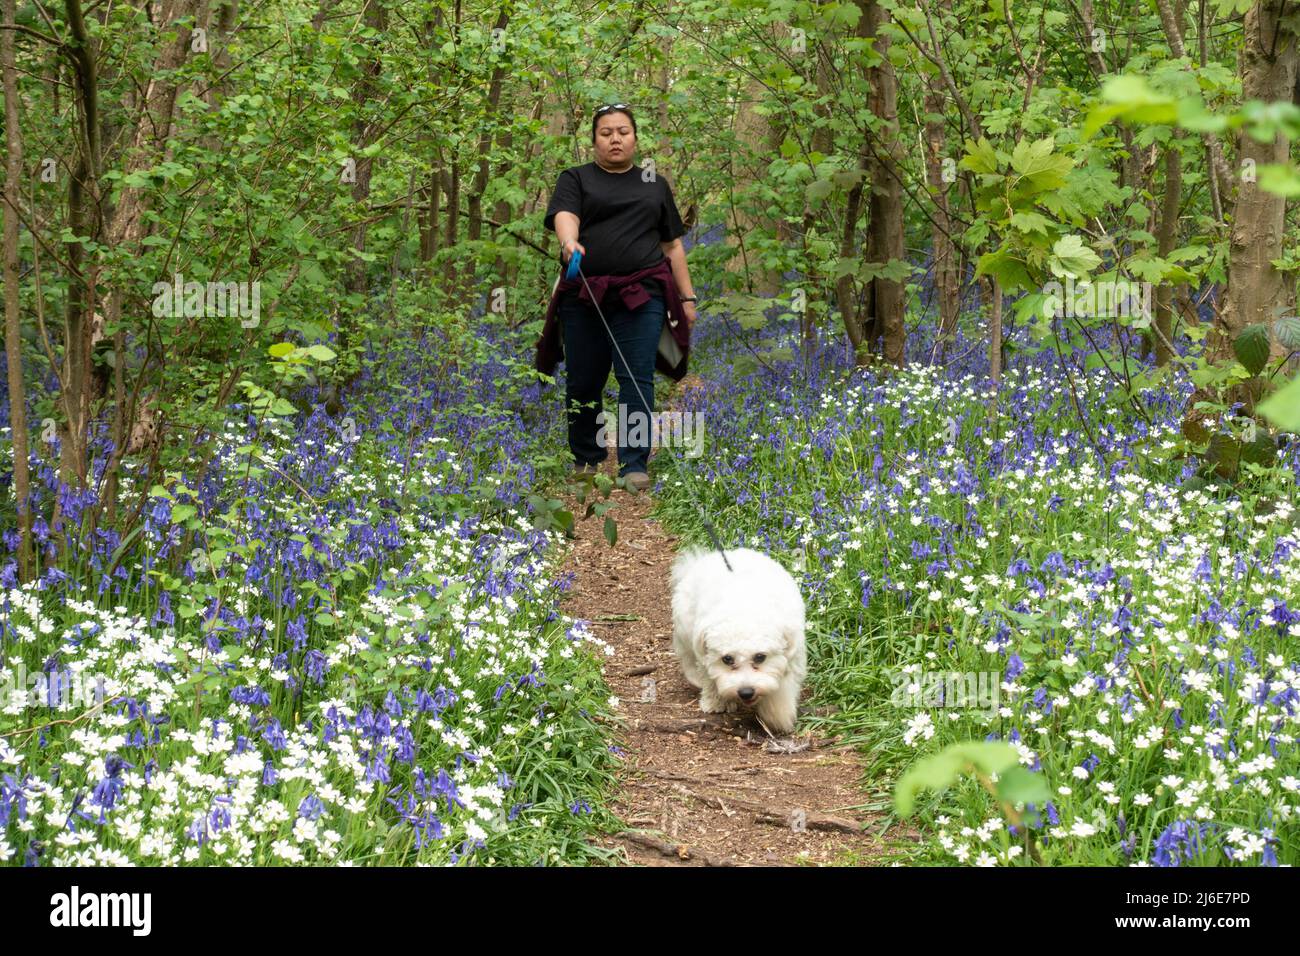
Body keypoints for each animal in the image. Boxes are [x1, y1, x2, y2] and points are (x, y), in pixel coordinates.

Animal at [670, 546, 800, 733]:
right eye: (727, 659)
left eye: (760, 657)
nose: (746, 692)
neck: (744, 607)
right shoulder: (707, 654)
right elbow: (710, 677)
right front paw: (716, 702)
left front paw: (777, 714)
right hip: (686, 629)